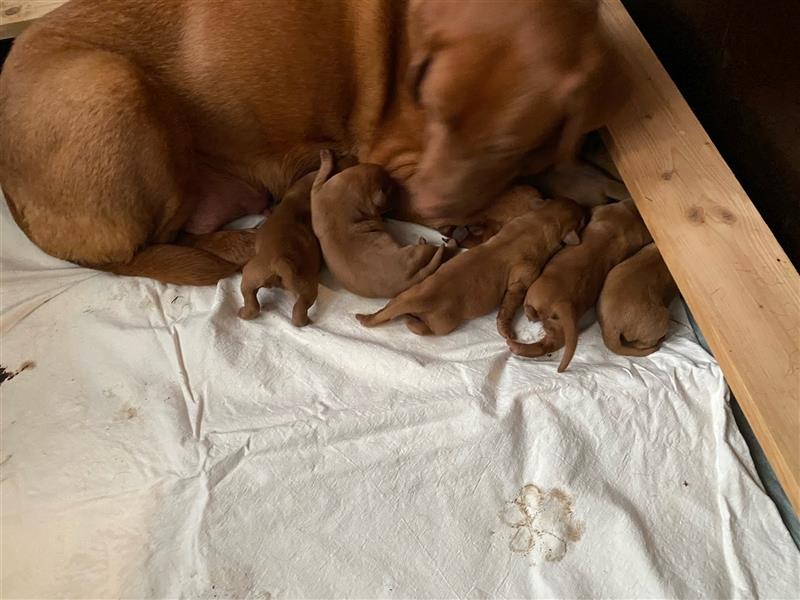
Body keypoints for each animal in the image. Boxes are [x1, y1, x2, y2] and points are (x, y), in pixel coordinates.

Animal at [312, 150, 446, 300]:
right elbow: (322, 173)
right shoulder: (317, 190)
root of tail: (409, 282)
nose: (400, 186)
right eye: (392, 188)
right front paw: (326, 157)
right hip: (417, 252)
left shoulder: (319, 191)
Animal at [358, 198, 588, 336]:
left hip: (404, 294)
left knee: (386, 308)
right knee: (422, 328)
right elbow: (510, 304)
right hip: (442, 324)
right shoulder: (522, 278)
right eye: (582, 219)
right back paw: (408, 320)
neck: (539, 222)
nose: (585, 207)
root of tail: (416, 299)